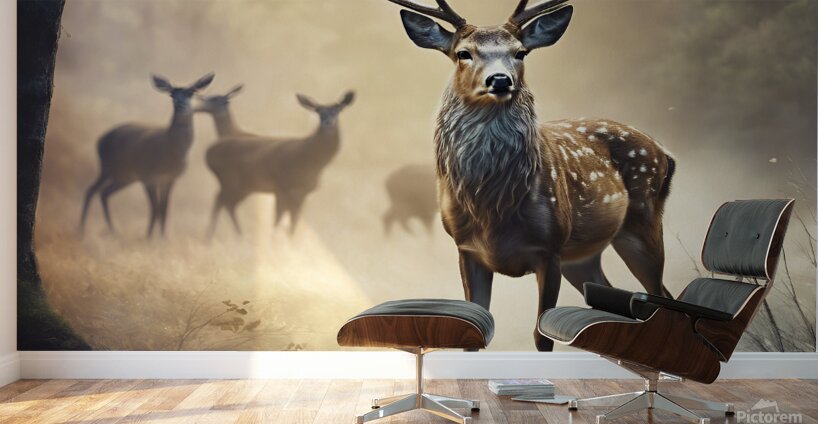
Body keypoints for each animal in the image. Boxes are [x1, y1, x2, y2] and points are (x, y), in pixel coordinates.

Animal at [79, 73, 214, 237]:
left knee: (104, 193)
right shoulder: (148, 176)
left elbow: (164, 208)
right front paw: (148, 237)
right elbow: (155, 208)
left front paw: (163, 236)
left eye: (191, 93)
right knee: (91, 190)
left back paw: (112, 230)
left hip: (124, 177)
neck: (171, 148)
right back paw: (82, 229)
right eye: (171, 94)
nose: (180, 105)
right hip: (108, 168)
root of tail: (100, 140)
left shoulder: (170, 178)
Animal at [203, 91, 355, 238]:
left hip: (242, 186)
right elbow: (278, 221)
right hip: (231, 180)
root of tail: (208, 152)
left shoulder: (302, 192)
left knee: (224, 202)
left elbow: (293, 224)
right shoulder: (281, 187)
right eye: (318, 111)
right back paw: (230, 236)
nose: (328, 123)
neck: (311, 162)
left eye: (338, 110)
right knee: (224, 202)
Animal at [382, 0, 675, 351]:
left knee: (661, 295)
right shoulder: (466, 249)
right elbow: (475, 327)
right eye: (463, 53)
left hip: (641, 222)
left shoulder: (549, 248)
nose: (499, 80)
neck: (493, 210)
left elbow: (542, 334)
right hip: (583, 256)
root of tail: (665, 154)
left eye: (520, 52)